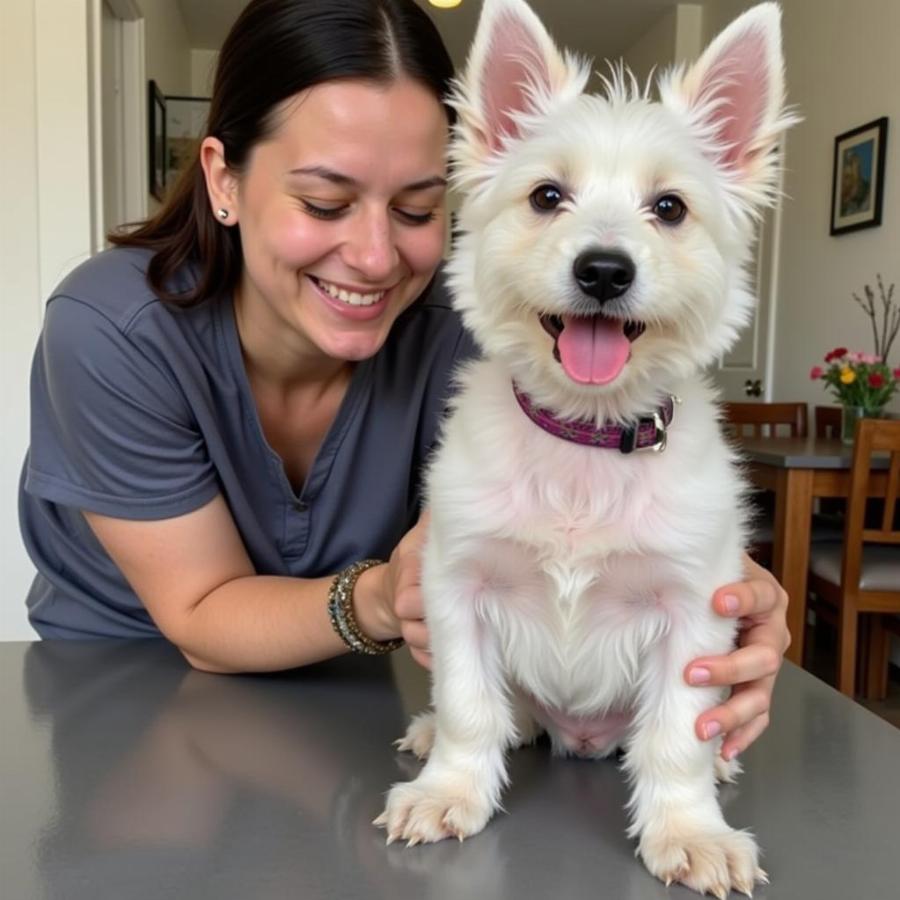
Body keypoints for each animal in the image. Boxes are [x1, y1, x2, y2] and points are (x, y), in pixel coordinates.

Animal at [376, 1, 800, 892]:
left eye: (669, 208)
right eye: (547, 196)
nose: (603, 270)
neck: (585, 439)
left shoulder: (693, 615)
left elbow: (676, 739)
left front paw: (690, 831)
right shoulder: (458, 588)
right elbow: (469, 705)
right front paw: (449, 789)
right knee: (504, 714)